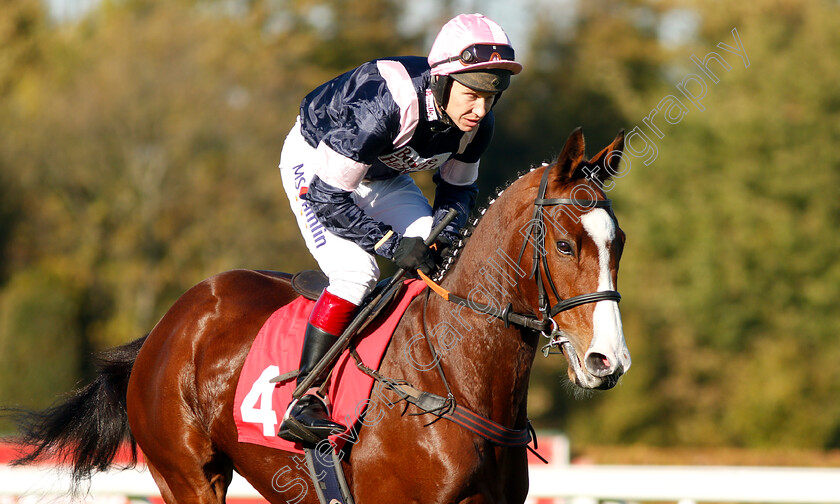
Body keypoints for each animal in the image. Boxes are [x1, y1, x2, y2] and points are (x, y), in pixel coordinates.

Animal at [8, 129, 632, 504]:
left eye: (618, 242)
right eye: (565, 246)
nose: (609, 360)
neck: (454, 375)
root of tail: (170, 324)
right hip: (186, 474)